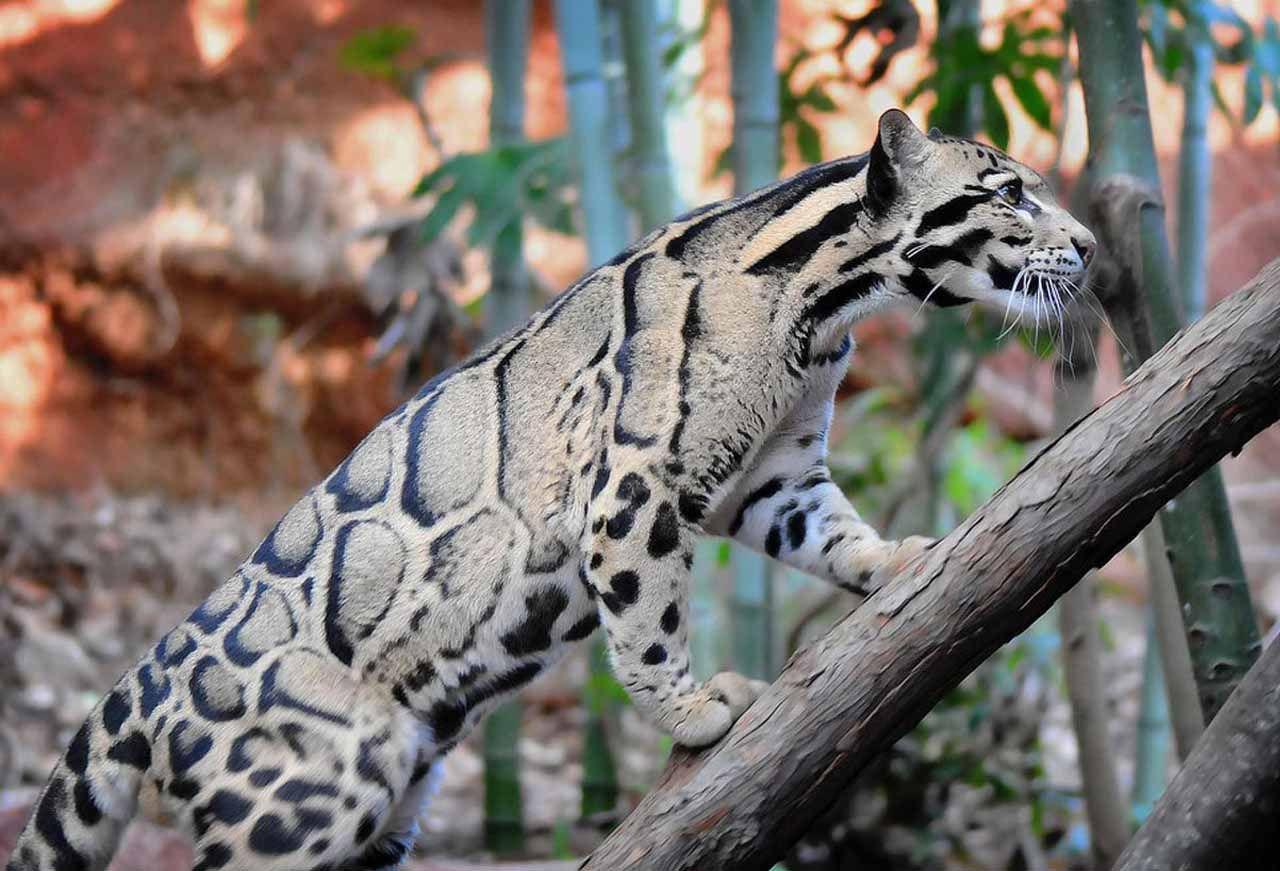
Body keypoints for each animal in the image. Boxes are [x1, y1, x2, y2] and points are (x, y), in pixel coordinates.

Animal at [6, 109, 1094, 871]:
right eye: (1008, 192)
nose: (1085, 244)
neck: (818, 311)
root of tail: (140, 677)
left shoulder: (776, 472)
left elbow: (828, 529)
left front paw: (895, 560)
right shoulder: (632, 481)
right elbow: (647, 621)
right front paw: (689, 707)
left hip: (389, 804)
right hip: (305, 797)